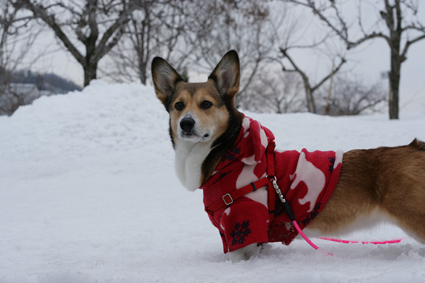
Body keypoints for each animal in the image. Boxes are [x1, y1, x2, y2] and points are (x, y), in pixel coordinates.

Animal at [152, 50, 424, 262]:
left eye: (206, 104)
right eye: (178, 106)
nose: (186, 124)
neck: (226, 154)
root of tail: (416, 147)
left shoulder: (242, 223)